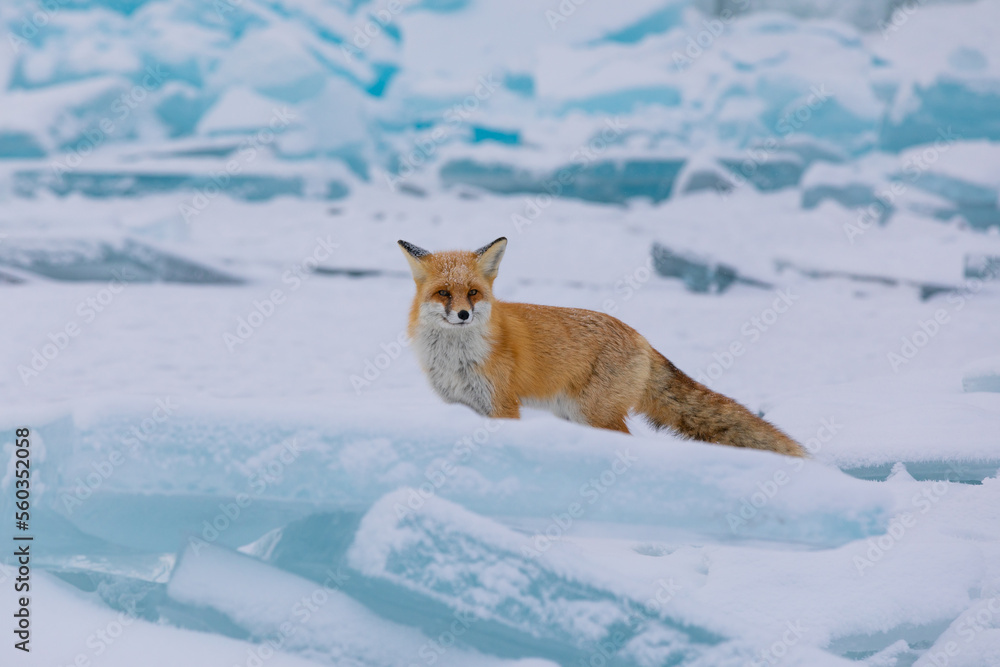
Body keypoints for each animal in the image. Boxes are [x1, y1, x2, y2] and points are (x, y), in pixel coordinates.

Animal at [398, 237, 805, 457]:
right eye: (444, 293)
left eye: (473, 293)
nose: (464, 314)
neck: (456, 359)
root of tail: (642, 337)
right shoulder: (460, 404)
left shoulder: (502, 406)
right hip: (577, 416)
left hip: (594, 414)